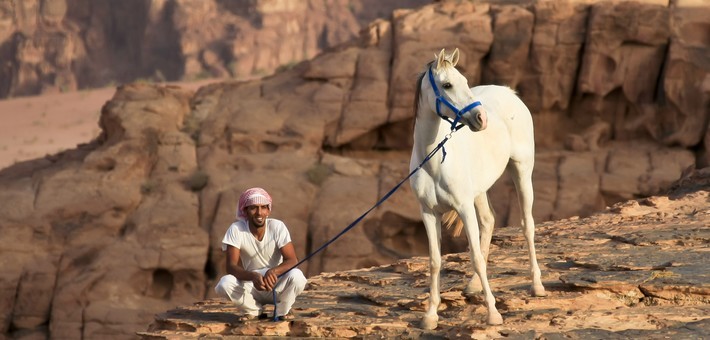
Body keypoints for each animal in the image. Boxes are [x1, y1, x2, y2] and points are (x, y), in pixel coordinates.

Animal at [408, 48, 548, 330]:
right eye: (447, 85)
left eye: (464, 81)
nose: (481, 119)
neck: (433, 161)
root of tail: (509, 92)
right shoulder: (428, 212)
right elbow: (435, 261)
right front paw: (430, 315)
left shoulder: (463, 207)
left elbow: (475, 257)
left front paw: (493, 313)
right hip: (480, 191)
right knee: (488, 221)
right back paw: (473, 285)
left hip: (521, 171)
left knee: (527, 225)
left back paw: (537, 285)